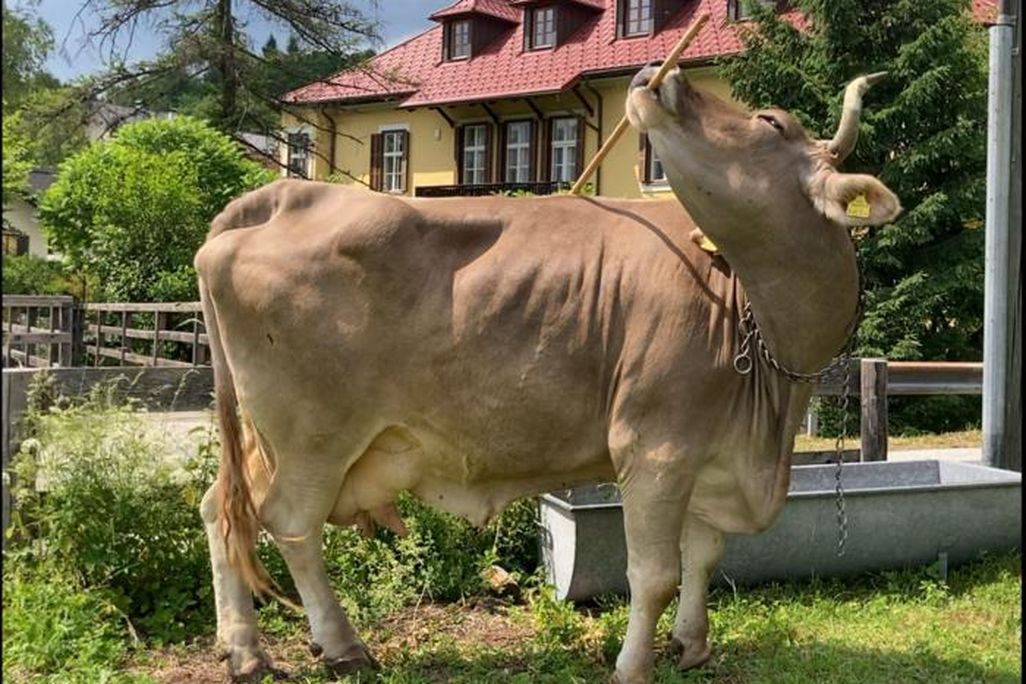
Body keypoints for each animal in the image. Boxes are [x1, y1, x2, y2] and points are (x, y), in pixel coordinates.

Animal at [195, 64, 900, 683]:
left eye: (769, 121)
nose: (660, 76)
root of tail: (283, 194)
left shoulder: (713, 453)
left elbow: (704, 554)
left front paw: (691, 645)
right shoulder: (655, 447)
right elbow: (654, 574)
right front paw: (634, 665)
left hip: (266, 435)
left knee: (223, 512)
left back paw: (244, 650)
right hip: (313, 436)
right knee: (290, 524)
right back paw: (341, 646)